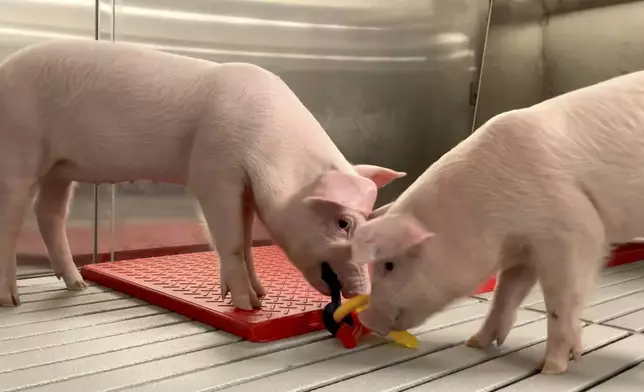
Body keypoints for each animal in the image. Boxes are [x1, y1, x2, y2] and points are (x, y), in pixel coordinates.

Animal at [0, 39, 406, 310]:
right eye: (343, 223)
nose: (364, 294)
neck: (269, 145)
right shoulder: (215, 174)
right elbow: (231, 240)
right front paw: (247, 306)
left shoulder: (246, 191)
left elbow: (247, 241)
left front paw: (260, 295)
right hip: (18, 147)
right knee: (12, 219)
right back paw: (12, 301)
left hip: (60, 168)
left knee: (49, 213)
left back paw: (78, 286)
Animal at [344, 70, 644, 374]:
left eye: (389, 265)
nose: (367, 318)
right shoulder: (524, 250)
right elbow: (505, 294)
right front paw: (474, 343)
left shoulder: (573, 229)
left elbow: (561, 300)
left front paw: (551, 368)